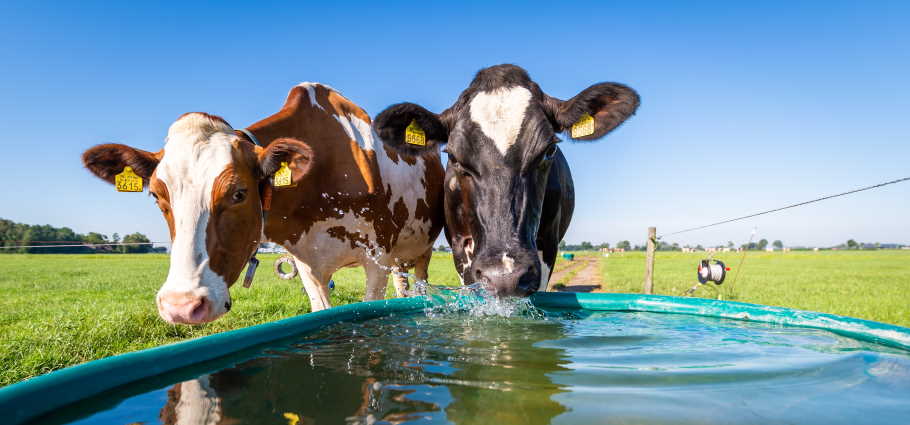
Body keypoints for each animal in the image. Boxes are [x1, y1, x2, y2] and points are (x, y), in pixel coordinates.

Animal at [83, 82, 448, 322]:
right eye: (157, 196)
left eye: (239, 193)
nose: (181, 305)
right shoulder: (308, 264)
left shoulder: (377, 259)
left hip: (420, 251)